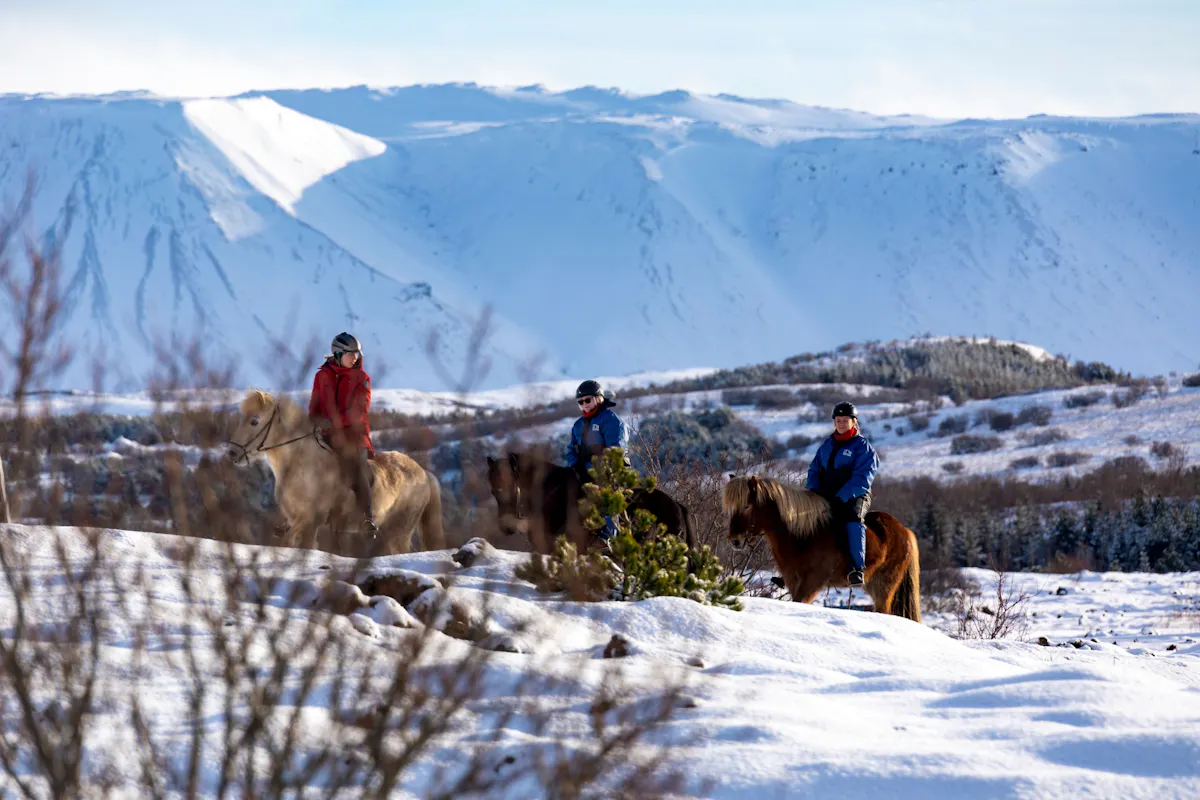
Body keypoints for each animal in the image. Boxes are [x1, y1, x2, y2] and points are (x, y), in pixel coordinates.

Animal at [226, 390, 444, 555]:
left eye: (254, 421)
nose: (232, 453)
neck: (299, 463)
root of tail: (424, 474)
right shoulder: (299, 521)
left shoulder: (310, 519)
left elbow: (290, 543)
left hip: (400, 530)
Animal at [723, 475, 921, 622]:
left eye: (747, 506)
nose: (735, 541)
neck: (805, 535)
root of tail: (904, 531)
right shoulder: (793, 580)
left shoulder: (812, 583)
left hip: (884, 586)